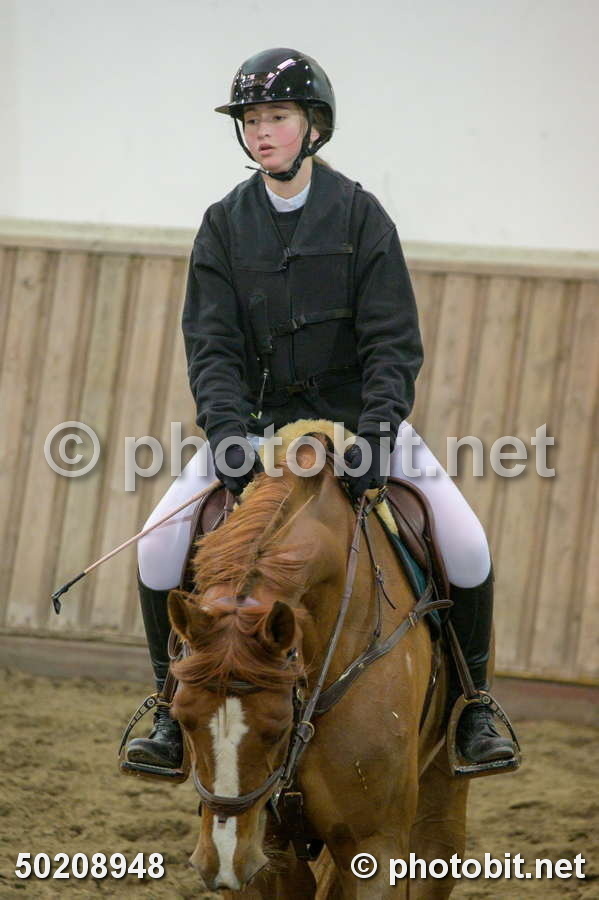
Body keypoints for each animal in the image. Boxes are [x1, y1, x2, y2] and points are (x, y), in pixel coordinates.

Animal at [168, 427, 470, 898]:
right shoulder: (271, 855)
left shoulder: (376, 844)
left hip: (442, 800)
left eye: (277, 729)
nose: (222, 862)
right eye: (182, 718)